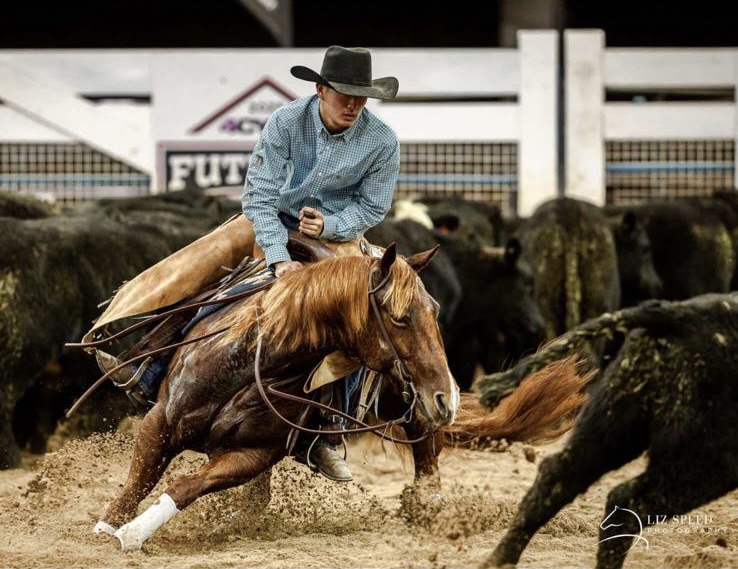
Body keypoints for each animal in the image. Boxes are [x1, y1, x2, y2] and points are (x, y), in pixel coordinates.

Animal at [90, 243, 461, 550]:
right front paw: (106, 527)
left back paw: (428, 506)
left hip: (411, 402)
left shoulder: (251, 454)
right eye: (399, 319)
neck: (252, 363)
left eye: (435, 310)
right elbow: (139, 479)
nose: (447, 396)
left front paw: (132, 533)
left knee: (426, 447)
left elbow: (185, 485)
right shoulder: (161, 419)